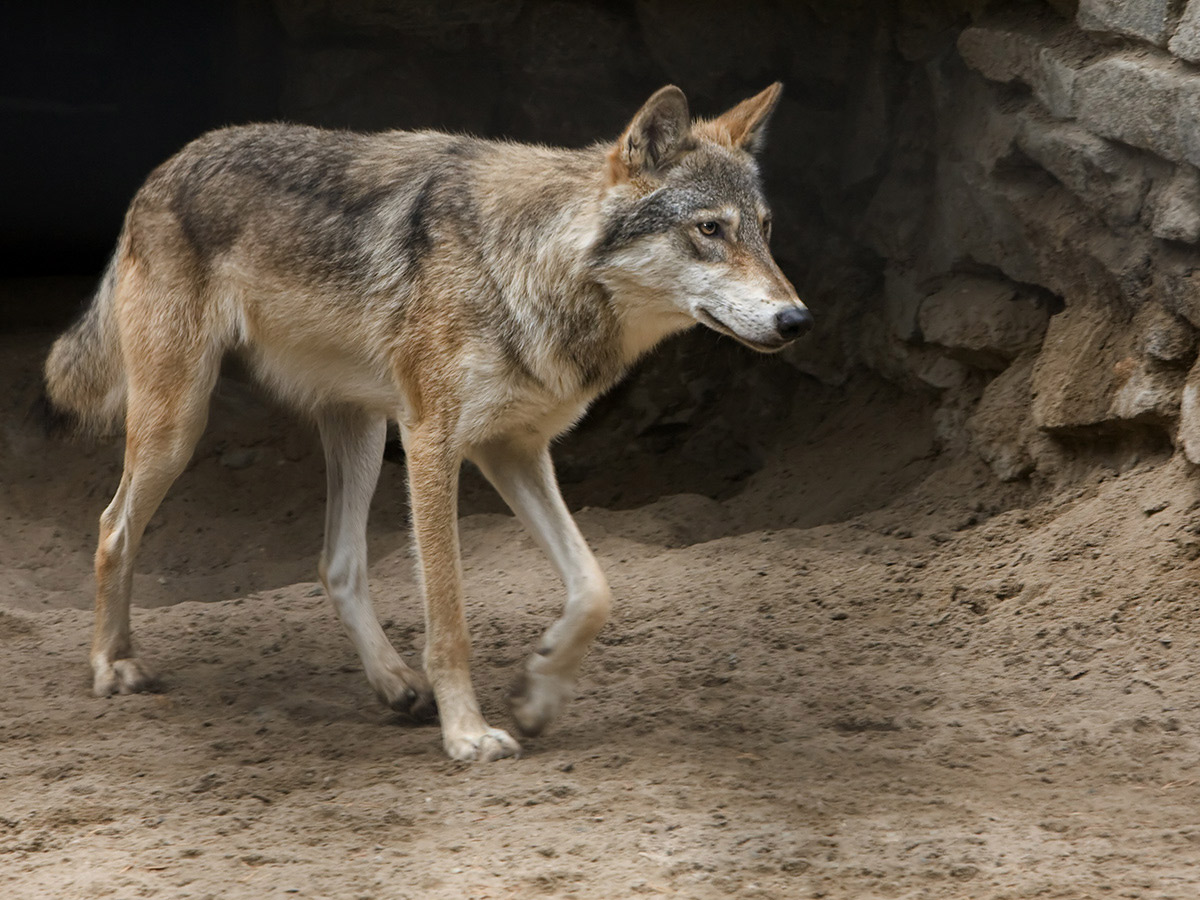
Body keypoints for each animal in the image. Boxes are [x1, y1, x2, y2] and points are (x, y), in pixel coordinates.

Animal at [42, 82, 811, 763]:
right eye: (709, 229)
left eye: (767, 231)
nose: (797, 320)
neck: (532, 263)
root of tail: (164, 168)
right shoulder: (434, 444)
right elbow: (450, 619)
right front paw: (468, 735)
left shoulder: (513, 449)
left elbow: (595, 588)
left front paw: (537, 695)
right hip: (180, 424)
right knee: (112, 529)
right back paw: (112, 665)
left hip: (357, 430)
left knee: (338, 563)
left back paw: (395, 686)